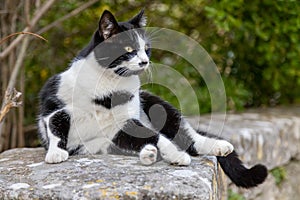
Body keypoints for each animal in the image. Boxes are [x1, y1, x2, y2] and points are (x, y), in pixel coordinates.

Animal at [37, 9, 268, 188]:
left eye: (146, 49)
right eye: (128, 49)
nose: (144, 61)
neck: (109, 88)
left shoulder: (125, 121)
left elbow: (160, 137)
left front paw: (176, 155)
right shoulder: (54, 105)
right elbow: (55, 126)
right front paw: (55, 153)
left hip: (157, 104)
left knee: (188, 137)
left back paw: (217, 146)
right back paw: (148, 154)